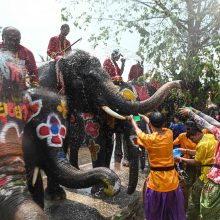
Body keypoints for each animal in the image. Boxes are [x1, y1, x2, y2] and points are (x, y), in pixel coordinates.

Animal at [38, 49, 182, 194]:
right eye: (89, 79)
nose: (179, 83)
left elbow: (108, 143)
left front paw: (102, 187)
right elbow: (96, 142)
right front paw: (98, 191)